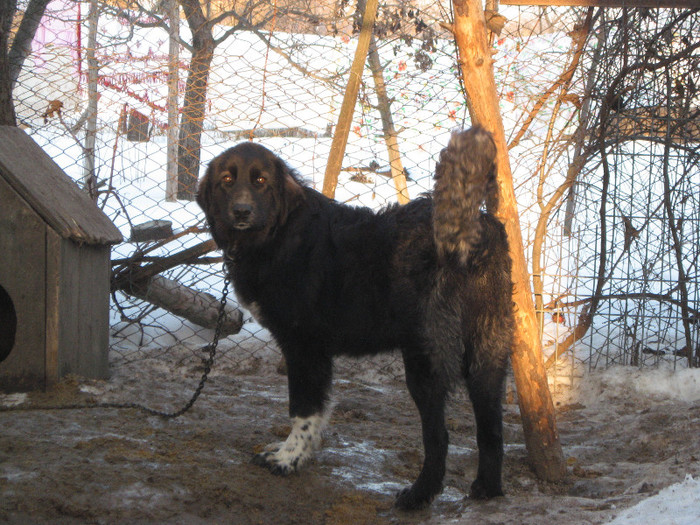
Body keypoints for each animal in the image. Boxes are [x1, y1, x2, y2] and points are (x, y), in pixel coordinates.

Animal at [197, 127, 516, 508]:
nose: (241, 210)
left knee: (438, 438)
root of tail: (471, 233)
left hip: (425, 360)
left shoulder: (305, 347)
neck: (279, 233)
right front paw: (298, 454)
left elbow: (303, 409)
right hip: (487, 354)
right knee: (491, 428)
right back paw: (487, 488)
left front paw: (289, 459)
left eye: (260, 181)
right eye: (227, 180)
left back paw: (417, 496)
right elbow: (316, 410)